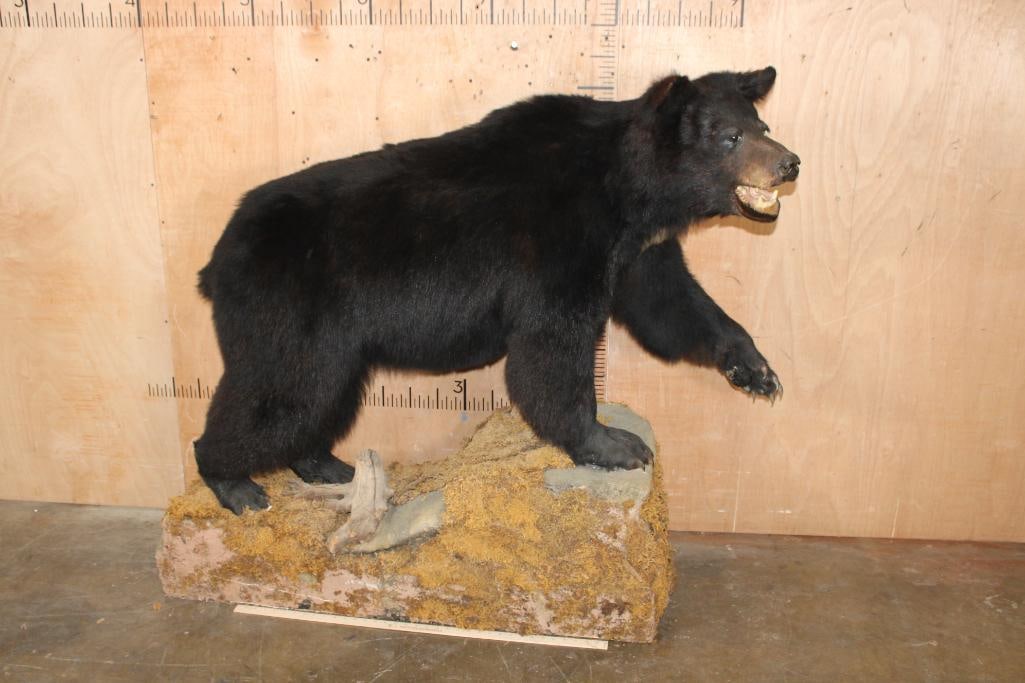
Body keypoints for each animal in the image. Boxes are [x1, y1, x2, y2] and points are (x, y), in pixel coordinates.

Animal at [195, 67, 800, 514]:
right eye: (730, 137)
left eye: (763, 123)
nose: (790, 163)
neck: (629, 190)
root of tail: (216, 259)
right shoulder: (558, 240)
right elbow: (552, 347)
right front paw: (612, 443)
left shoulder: (637, 252)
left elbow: (672, 307)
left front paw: (755, 369)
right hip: (288, 306)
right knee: (280, 388)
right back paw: (234, 482)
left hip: (330, 337)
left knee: (319, 393)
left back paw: (324, 463)